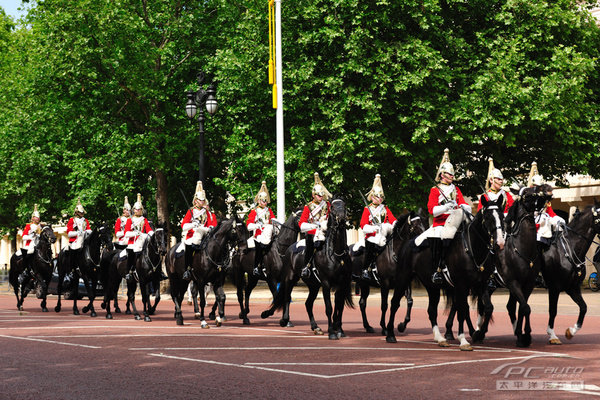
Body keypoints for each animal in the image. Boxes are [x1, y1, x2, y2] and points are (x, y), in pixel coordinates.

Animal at [262, 195, 354, 340]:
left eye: (344, 205)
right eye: (333, 207)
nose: (341, 217)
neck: (337, 254)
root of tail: (290, 247)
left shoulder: (342, 284)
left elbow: (340, 307)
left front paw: (339, 330)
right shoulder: (326, 283)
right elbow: (329, 308)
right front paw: (332, 332)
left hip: (313, 285)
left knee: (308, 303)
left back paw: (315, 327)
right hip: (290, 278)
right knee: (286, 297)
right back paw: (284, 320)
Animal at [398, 197, 506, 350]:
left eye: (502, 217)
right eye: (487, 217)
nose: (500, 243)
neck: (472, 249)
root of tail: (409, 242)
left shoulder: (481, 284)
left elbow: (488, 308)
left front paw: (478, 334)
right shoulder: (461, 286)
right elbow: (462, 311)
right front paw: (464, 340)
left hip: (432, 286)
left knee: (432, 310)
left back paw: (440, 338)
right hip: (407, 278)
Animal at [494, 184, 552, 346]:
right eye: (526, 192)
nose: (547, 188)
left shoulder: (528, 283)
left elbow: (523, 307)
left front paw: (522, 334)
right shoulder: (513, 282)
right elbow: (525, 307)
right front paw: (525, 336)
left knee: (508, 306)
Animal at [540, 200, 596, 344]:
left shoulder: (572, 287)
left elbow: (583, 307)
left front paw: (571, 331)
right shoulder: (554, 287)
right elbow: (553, 310)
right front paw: (552, 335)